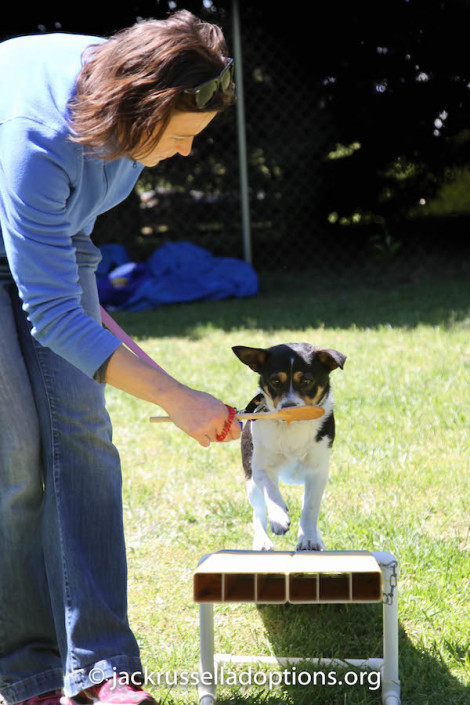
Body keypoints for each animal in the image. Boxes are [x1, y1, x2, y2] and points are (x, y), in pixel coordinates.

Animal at [231, 340, 346, 552]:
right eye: (276, 381)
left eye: (307, 380)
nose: (288, 408)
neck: (292, 426)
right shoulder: (260, 468)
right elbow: (271, 492)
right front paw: (278, 517)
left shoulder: (318, 472)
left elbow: (310, 508)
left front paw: (308, 538)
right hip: (250, 480)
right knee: (258, 512)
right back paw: (263, 540)